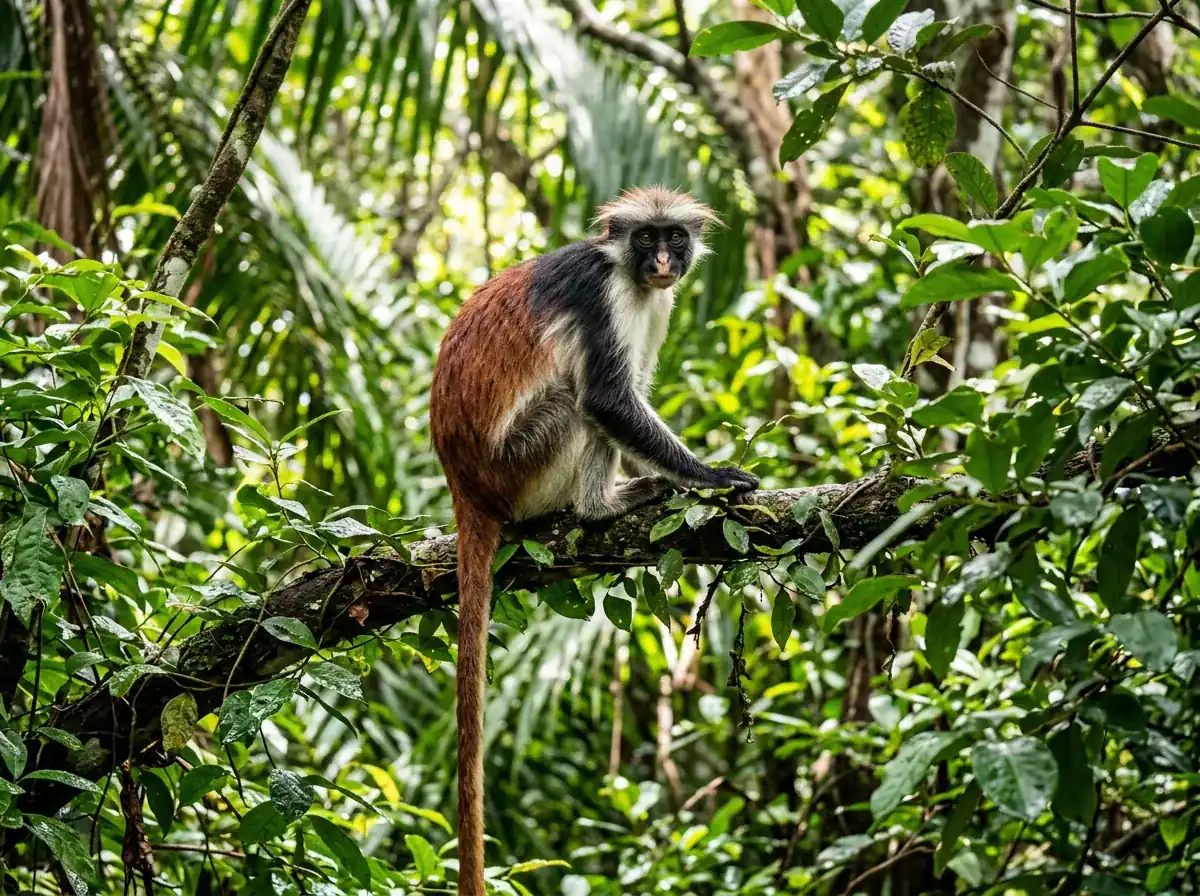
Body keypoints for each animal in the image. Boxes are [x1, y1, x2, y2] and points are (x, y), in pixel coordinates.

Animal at [428, 186, 759, 895]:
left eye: (673, 238)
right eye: (644, 239)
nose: (661, 261)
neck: (624, 271)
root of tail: (466, 486)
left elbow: (629, 399)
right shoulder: (599, 293)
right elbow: (610, 401)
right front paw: (711, 477)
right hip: (522, 462)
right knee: (581, 402)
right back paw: (598, 506)